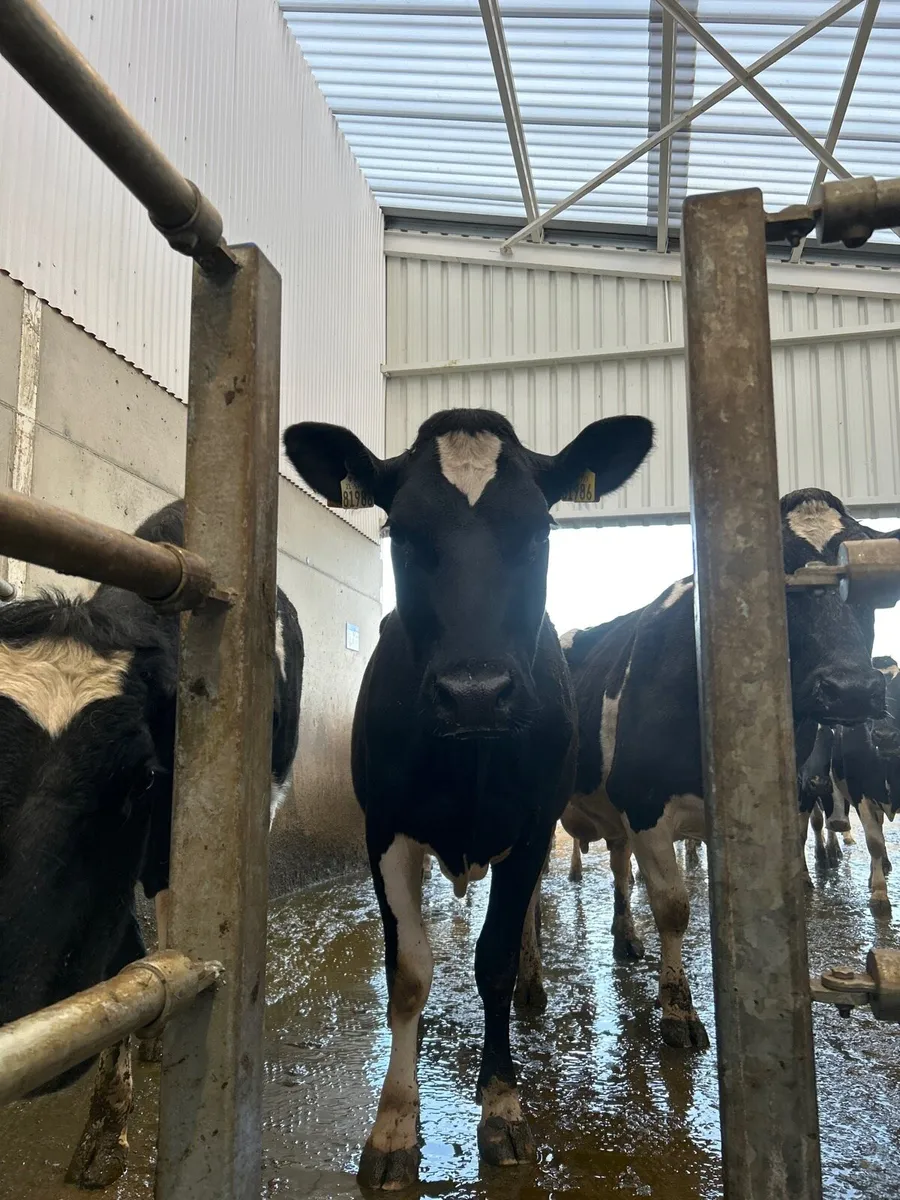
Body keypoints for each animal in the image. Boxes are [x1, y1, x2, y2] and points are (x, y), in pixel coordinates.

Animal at [282, 406, 653, 1190]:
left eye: (540, 530)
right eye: (401, 532)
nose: (475, 691)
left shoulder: (533, 825)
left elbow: (495, 959)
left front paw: (502, 1106)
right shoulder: (385, 829)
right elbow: (409, 970)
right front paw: (395, 1122)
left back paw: (535, 986)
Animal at [550, 489, 890, 1050]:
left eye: (871, 587)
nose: (851, 689)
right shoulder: (645, 804)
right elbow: (673, 906)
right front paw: (678, 1010)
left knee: (619, 866)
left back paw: (626, 937)